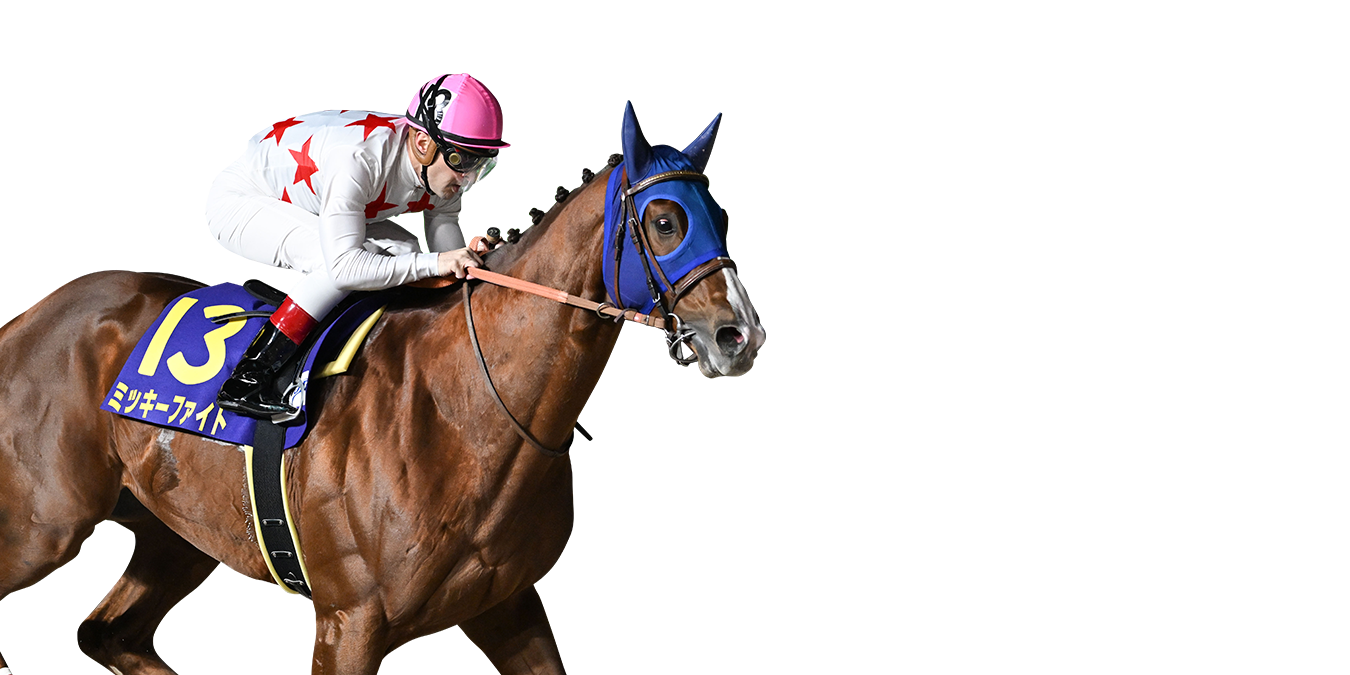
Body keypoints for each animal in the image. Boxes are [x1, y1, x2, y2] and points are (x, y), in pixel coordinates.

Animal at [0, 108, 764, 674]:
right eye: (665, 221)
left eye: (724, 213)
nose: (738, 333)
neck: (470, 412)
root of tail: (31, 317)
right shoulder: (352, 619)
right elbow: (342, 257)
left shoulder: (508, 606)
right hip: (45, 523)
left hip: (174, 532)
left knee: (105, 635)